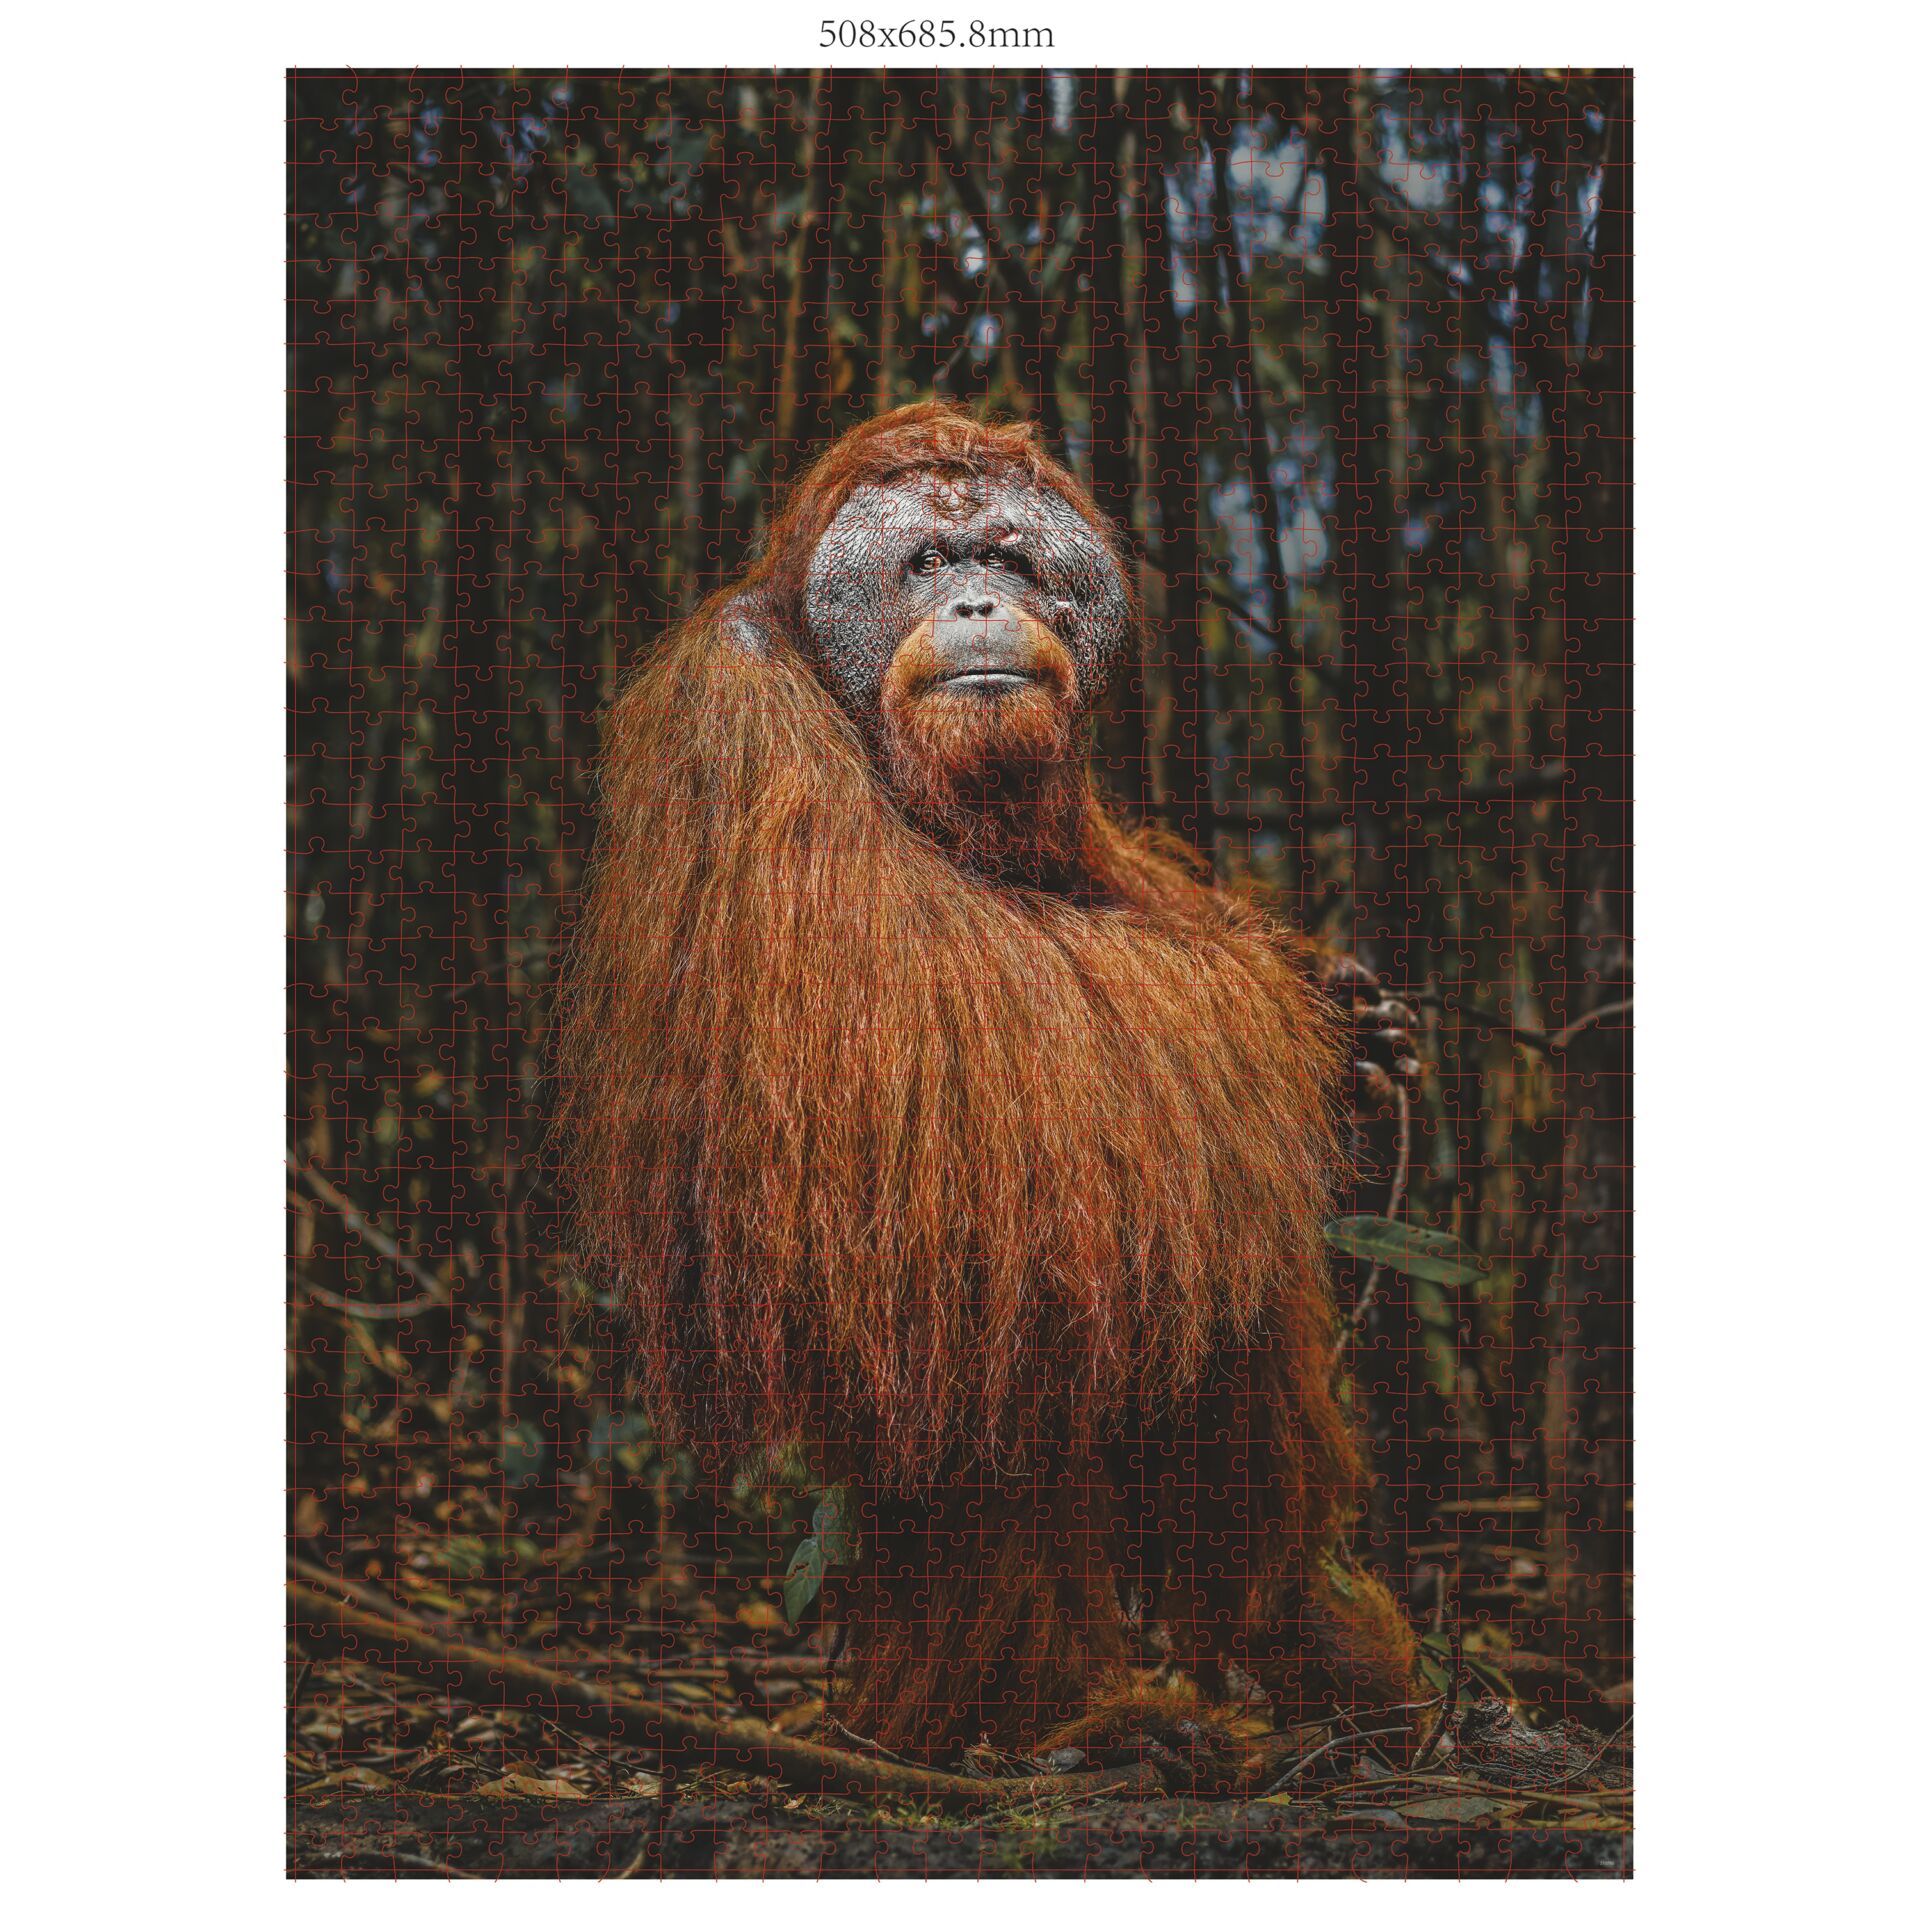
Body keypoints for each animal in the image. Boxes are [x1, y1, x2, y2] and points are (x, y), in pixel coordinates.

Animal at [555, 401, 1420, 1778]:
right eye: (923, 563)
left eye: (1010, 559)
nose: (975, 603)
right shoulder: (737, 712)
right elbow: (920, 1005)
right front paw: (1316, 1027)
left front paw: (1342, 997)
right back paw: (1058, 1725)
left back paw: (1322, 1659)